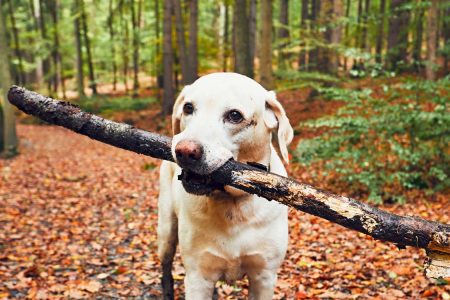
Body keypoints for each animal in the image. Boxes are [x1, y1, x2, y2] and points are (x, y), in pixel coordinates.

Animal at [156, 71, 294, 298]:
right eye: (188, 108)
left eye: (235, 115)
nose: (184, 151)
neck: (233, 204)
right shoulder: (197, 277)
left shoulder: (264, 276)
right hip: (166, 233)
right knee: (165, 271)